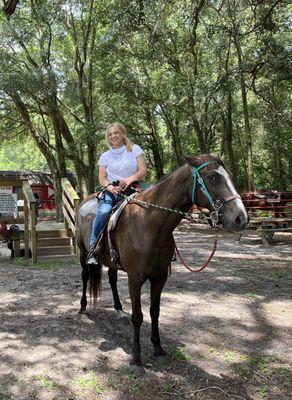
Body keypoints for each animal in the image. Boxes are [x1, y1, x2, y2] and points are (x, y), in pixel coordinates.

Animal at [76, 154, 248, 366]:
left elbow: (154, 312)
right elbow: (138, 316)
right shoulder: (135, 279)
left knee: (112, 279)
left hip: (111, 261)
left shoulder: (159, 277)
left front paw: (158, 347)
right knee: (85, 277)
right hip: (83, 253)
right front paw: (136, 355)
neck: (148, 225)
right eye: (213, 177)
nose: (241, 218)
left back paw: (119, 309)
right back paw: (83, 308)